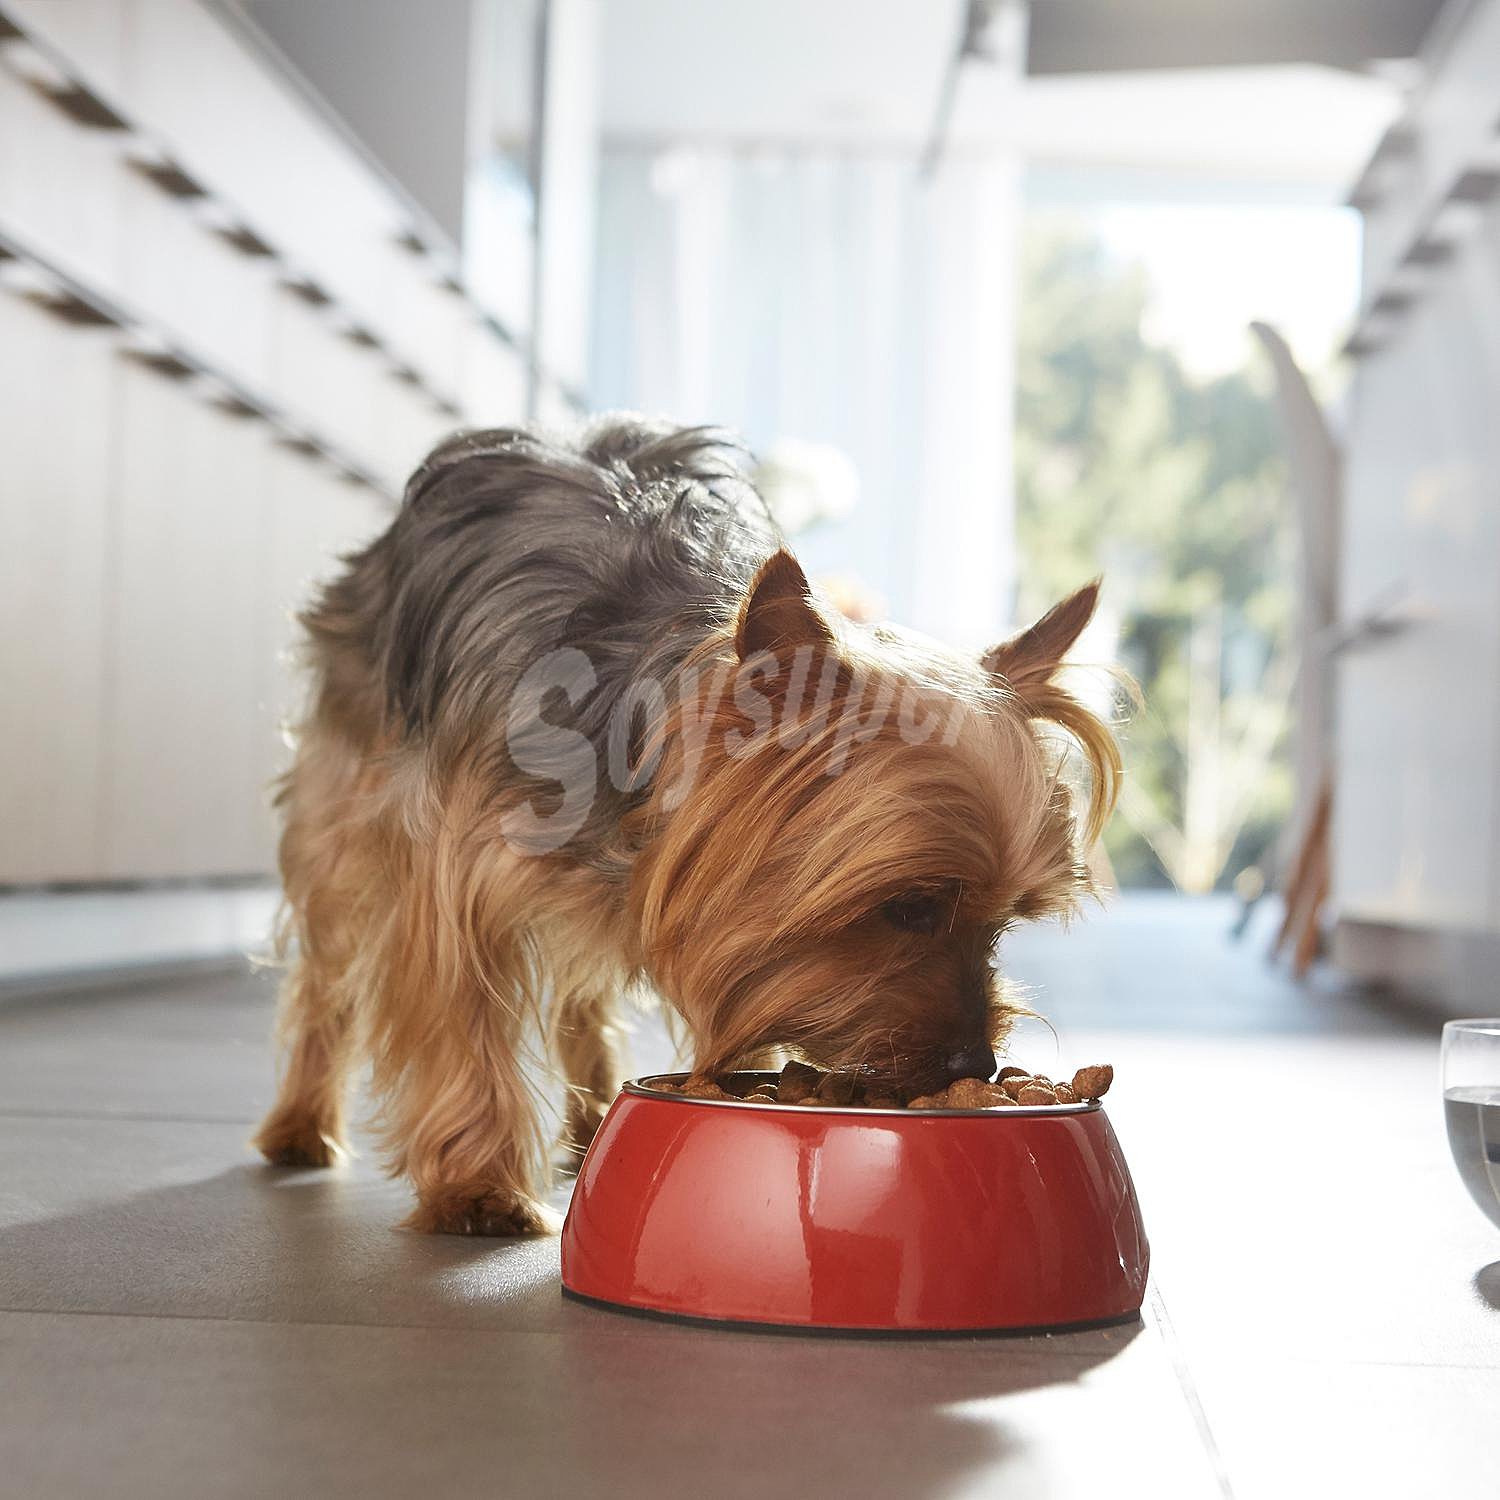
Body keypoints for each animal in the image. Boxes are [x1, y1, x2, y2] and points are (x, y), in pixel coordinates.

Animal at [252, 420, 1122, 1230]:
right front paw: (478, 1189)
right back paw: (300, 1123)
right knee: (326, 969)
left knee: (580, 997)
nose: (976, 1060)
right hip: (344, 799)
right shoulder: (455, 865)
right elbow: (461, 1016)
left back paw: (591, 1114)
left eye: (1004, 922)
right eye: (909, 907)